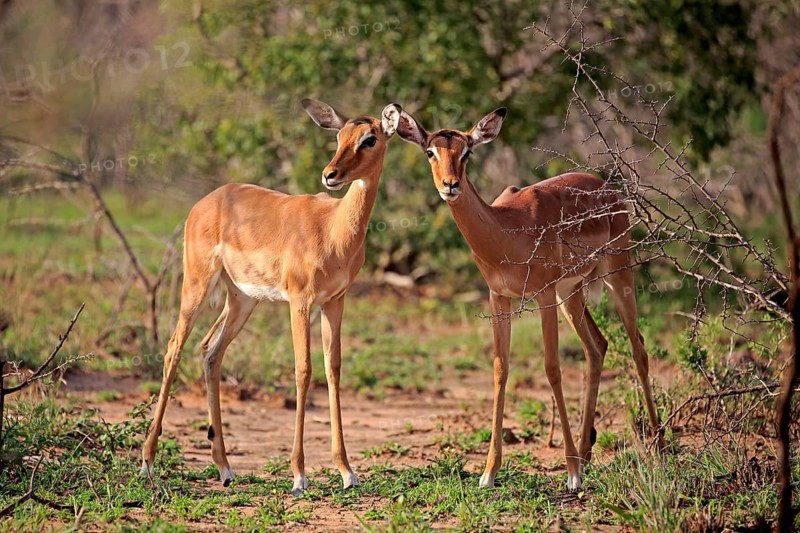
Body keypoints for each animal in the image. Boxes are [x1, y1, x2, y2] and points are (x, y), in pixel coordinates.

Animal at [140, 99, 402, 495]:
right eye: (339, 136)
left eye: (369, 138)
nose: (330, 174)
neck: (334, 229)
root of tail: (207, 201)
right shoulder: (300, 301)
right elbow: (303, 370)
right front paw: (299, 476)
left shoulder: (335, 301)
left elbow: (333, 369)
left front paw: (346, 471)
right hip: (197, 286)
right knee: (173, 349)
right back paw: (147, 463)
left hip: (241, 300)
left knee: (210, 351)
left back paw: (225, 469)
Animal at [396, 107, 661, 491]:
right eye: (430, 151)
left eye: (467, 152)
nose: (450, 185)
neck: (506, 231)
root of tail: (607, 189)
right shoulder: (500, 298)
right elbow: (500, 369)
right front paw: (489, 472)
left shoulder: (543, 295)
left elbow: (552, 368)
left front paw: (572, 474)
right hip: (571, 293)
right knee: (597, 347)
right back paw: (587, 452)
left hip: (617, 275)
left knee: (638, 347)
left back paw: (657, 446)